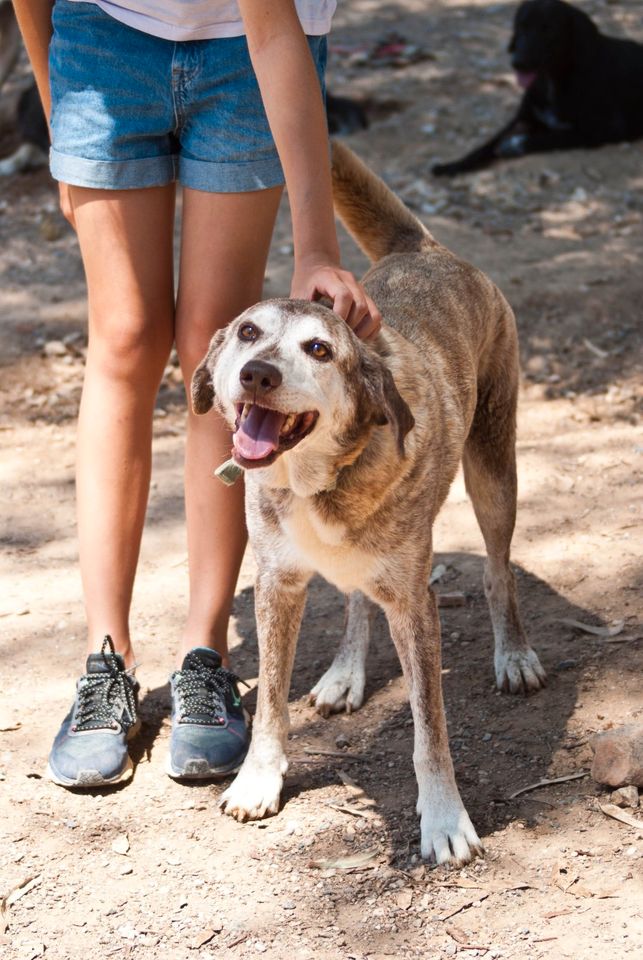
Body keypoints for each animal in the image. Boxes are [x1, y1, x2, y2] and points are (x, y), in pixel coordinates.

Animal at [194, 144, 544, 872]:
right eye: (247, 332)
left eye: (319, 350)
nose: (257, 374)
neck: (316, 481)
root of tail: (426, 249)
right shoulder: (277, 584)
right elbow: (271, 702)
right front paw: (258, 779)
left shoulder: (414, 601)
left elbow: (429, 728)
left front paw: (444, 819)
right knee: (357, 596)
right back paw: (345, 674)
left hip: (493, 473)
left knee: (497, 571)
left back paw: (515, 654)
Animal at [430, 0, 643, 176]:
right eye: (521, 26)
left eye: (548, 29)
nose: (517, 63)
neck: (552, 80)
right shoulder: (523, 118)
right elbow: (486, 145)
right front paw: (452, 165)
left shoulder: (605, 129)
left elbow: (554, 137)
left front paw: (515, 144)